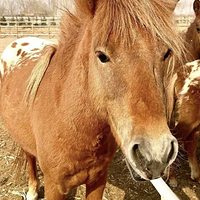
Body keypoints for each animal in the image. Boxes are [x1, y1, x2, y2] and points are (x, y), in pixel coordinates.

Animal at [0, 0, 184, 200]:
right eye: (102, 56)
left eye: (166, 53)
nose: (156, 153)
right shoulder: (54, 186)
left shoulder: (98, 180)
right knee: (28, 156)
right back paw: (32, 191)